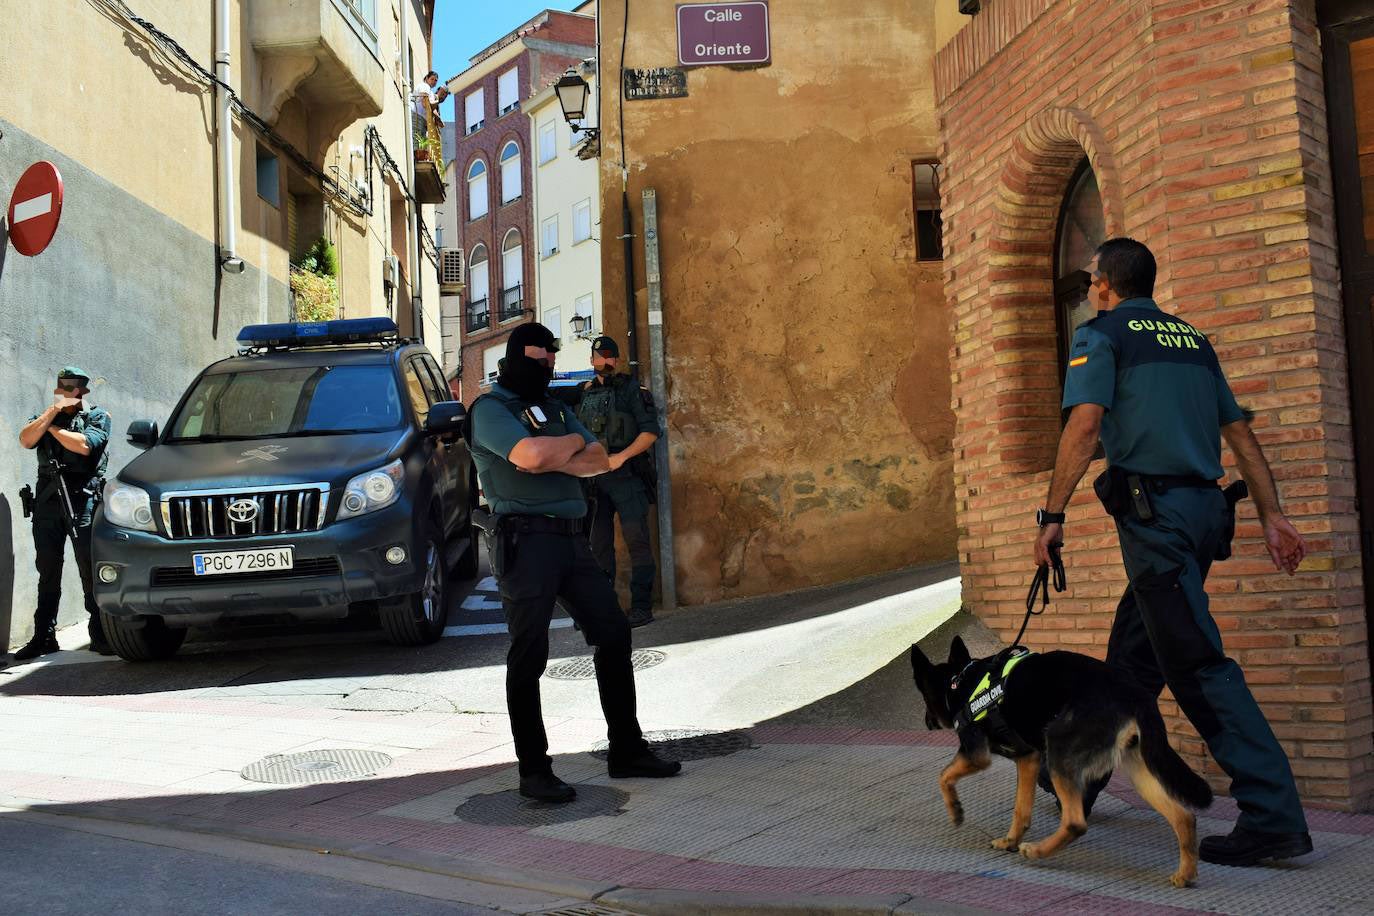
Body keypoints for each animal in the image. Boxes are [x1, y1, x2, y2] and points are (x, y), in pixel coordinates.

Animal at [912, 637, 1214, 889]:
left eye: (924, 698)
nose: (926, 721)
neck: (958, 681)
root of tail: (1136, 696)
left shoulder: (976, 754)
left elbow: (943, 775)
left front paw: (955, 811)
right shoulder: (1028, 758)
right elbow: (1021, 809)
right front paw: (1010, 840)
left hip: (1058, 748)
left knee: (1075, 823)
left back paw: (1037, 851)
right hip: (1140, 770)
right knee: (1184, 817)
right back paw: (1186, 874)